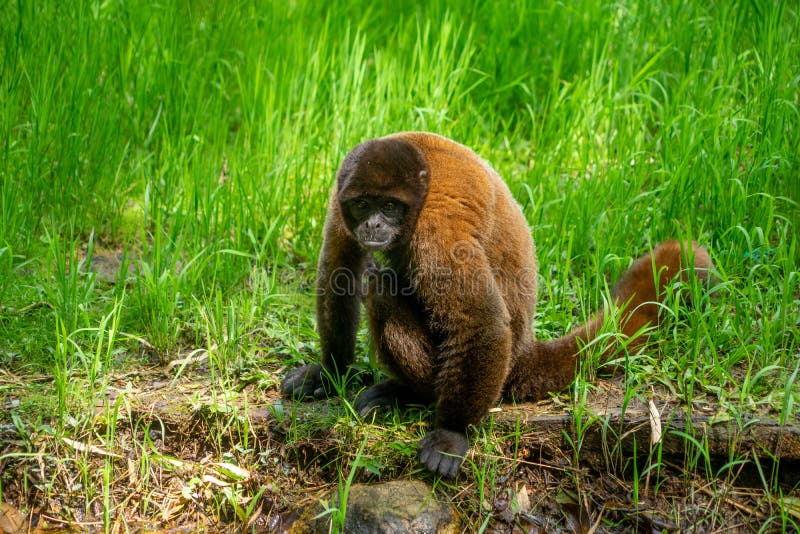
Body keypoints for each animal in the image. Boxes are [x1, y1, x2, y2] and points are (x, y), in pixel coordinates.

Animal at [280, 132, 714, 478]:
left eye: (388, 207)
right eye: (364, 204)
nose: (373, 225)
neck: (418, 190)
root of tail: (523, 352)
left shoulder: (438, 229)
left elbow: (480, 321)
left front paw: (452, 434)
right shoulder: (340, 200)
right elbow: (338, 274)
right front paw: (329, 371)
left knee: (384, 286)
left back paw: (411, 394)